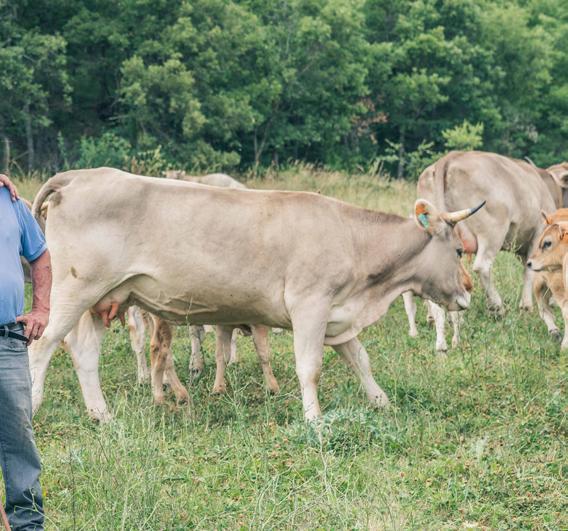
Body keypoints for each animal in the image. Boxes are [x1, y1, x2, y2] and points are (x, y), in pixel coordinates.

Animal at [29, 167, 483, 422]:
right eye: (458, 250)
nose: (468, 290)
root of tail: (80, 175)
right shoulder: (310, 305)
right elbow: (309, 368)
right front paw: (314, 419)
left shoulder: (337, 315)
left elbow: (361, 360)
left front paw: (381, 402)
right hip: (75, 290)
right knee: (42, 346)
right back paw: (33, 410)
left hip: (105, 300)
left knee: (84, 352)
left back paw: (102, 414)